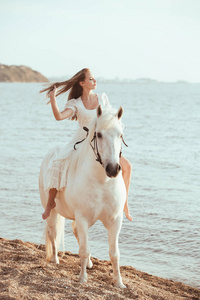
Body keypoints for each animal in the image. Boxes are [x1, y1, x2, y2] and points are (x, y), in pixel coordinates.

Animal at [39, 105, 126, 288]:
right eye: (99, 134)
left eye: (121, 135)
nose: (113, 169)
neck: (102, 182)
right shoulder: (83, 218)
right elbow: (84, 250)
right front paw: (82, 279)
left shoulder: (115, 221)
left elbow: (114, 253)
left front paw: (119, 283)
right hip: (52, 212)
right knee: (53, 233)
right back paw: (55, 260)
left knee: (73, 230)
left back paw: (89, 264)